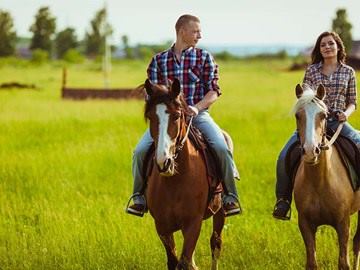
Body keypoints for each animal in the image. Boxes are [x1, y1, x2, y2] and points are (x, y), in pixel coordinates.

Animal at [143, 78, 225, 270]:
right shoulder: (162, 225)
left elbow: (184, 261)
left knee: (215, 243)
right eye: (150, 117)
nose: (163, 162)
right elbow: (174, 261)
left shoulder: (193, 223)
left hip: (221, 211)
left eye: (176, 116)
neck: (175, 182)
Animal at [294, 83, 360, 268]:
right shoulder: (305, 224)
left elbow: (344, 263)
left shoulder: (343, 224)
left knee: (357, 243)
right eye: (297, 115)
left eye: (323, 115)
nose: (311, 151)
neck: (319, 181)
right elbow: (311, 263)